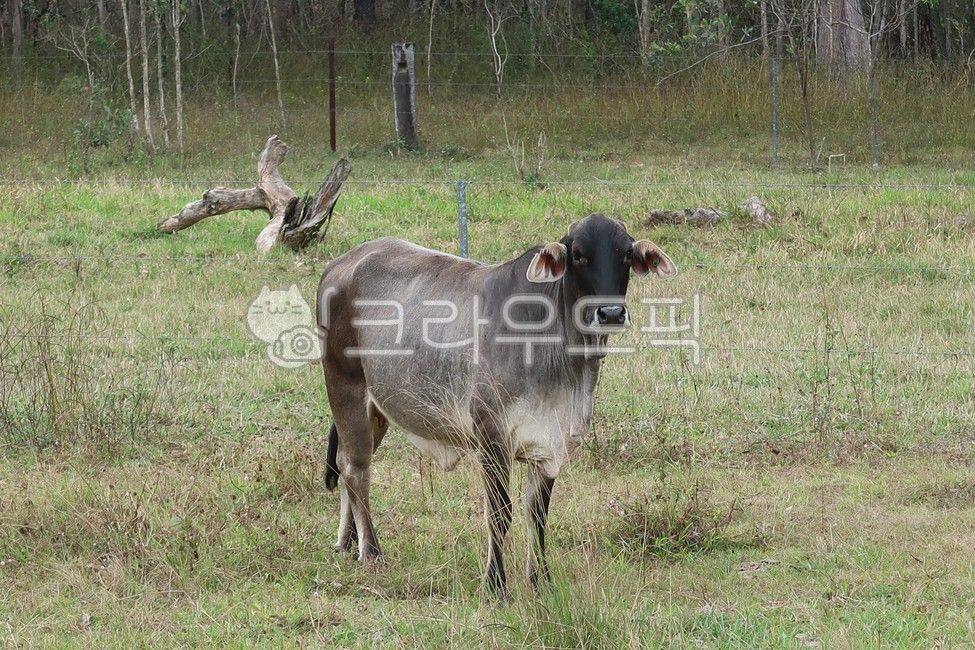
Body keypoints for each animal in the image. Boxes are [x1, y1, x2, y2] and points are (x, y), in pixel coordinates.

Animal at [317, 213, 676, 596]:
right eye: (579, 255)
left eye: (626, 255)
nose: (610, 313)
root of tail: (341, 263)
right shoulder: (491, 438)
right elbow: (500, 514)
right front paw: (495, 584)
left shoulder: (550, 444)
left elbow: (537, 515)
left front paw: (541, 581)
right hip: (346, 388)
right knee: (355, 467)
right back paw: (371, 550)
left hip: (378, 409)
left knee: (350, 464)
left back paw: (348, 542)